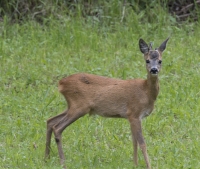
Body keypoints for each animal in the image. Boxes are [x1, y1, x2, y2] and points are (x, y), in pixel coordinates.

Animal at [45, 37, 169, 168]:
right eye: (147, 60)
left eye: (160, 61)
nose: (154, 70)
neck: (146, 91)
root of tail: (61, 84)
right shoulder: (134, 113)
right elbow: (142, 142)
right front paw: (148, 166)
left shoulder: (131, 117)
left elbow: (134, 141)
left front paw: (135, 164)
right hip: (79, 107)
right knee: (57, 128)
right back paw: (63, 162)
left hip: (72, 106)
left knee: (50, 120)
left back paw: (46, 158)